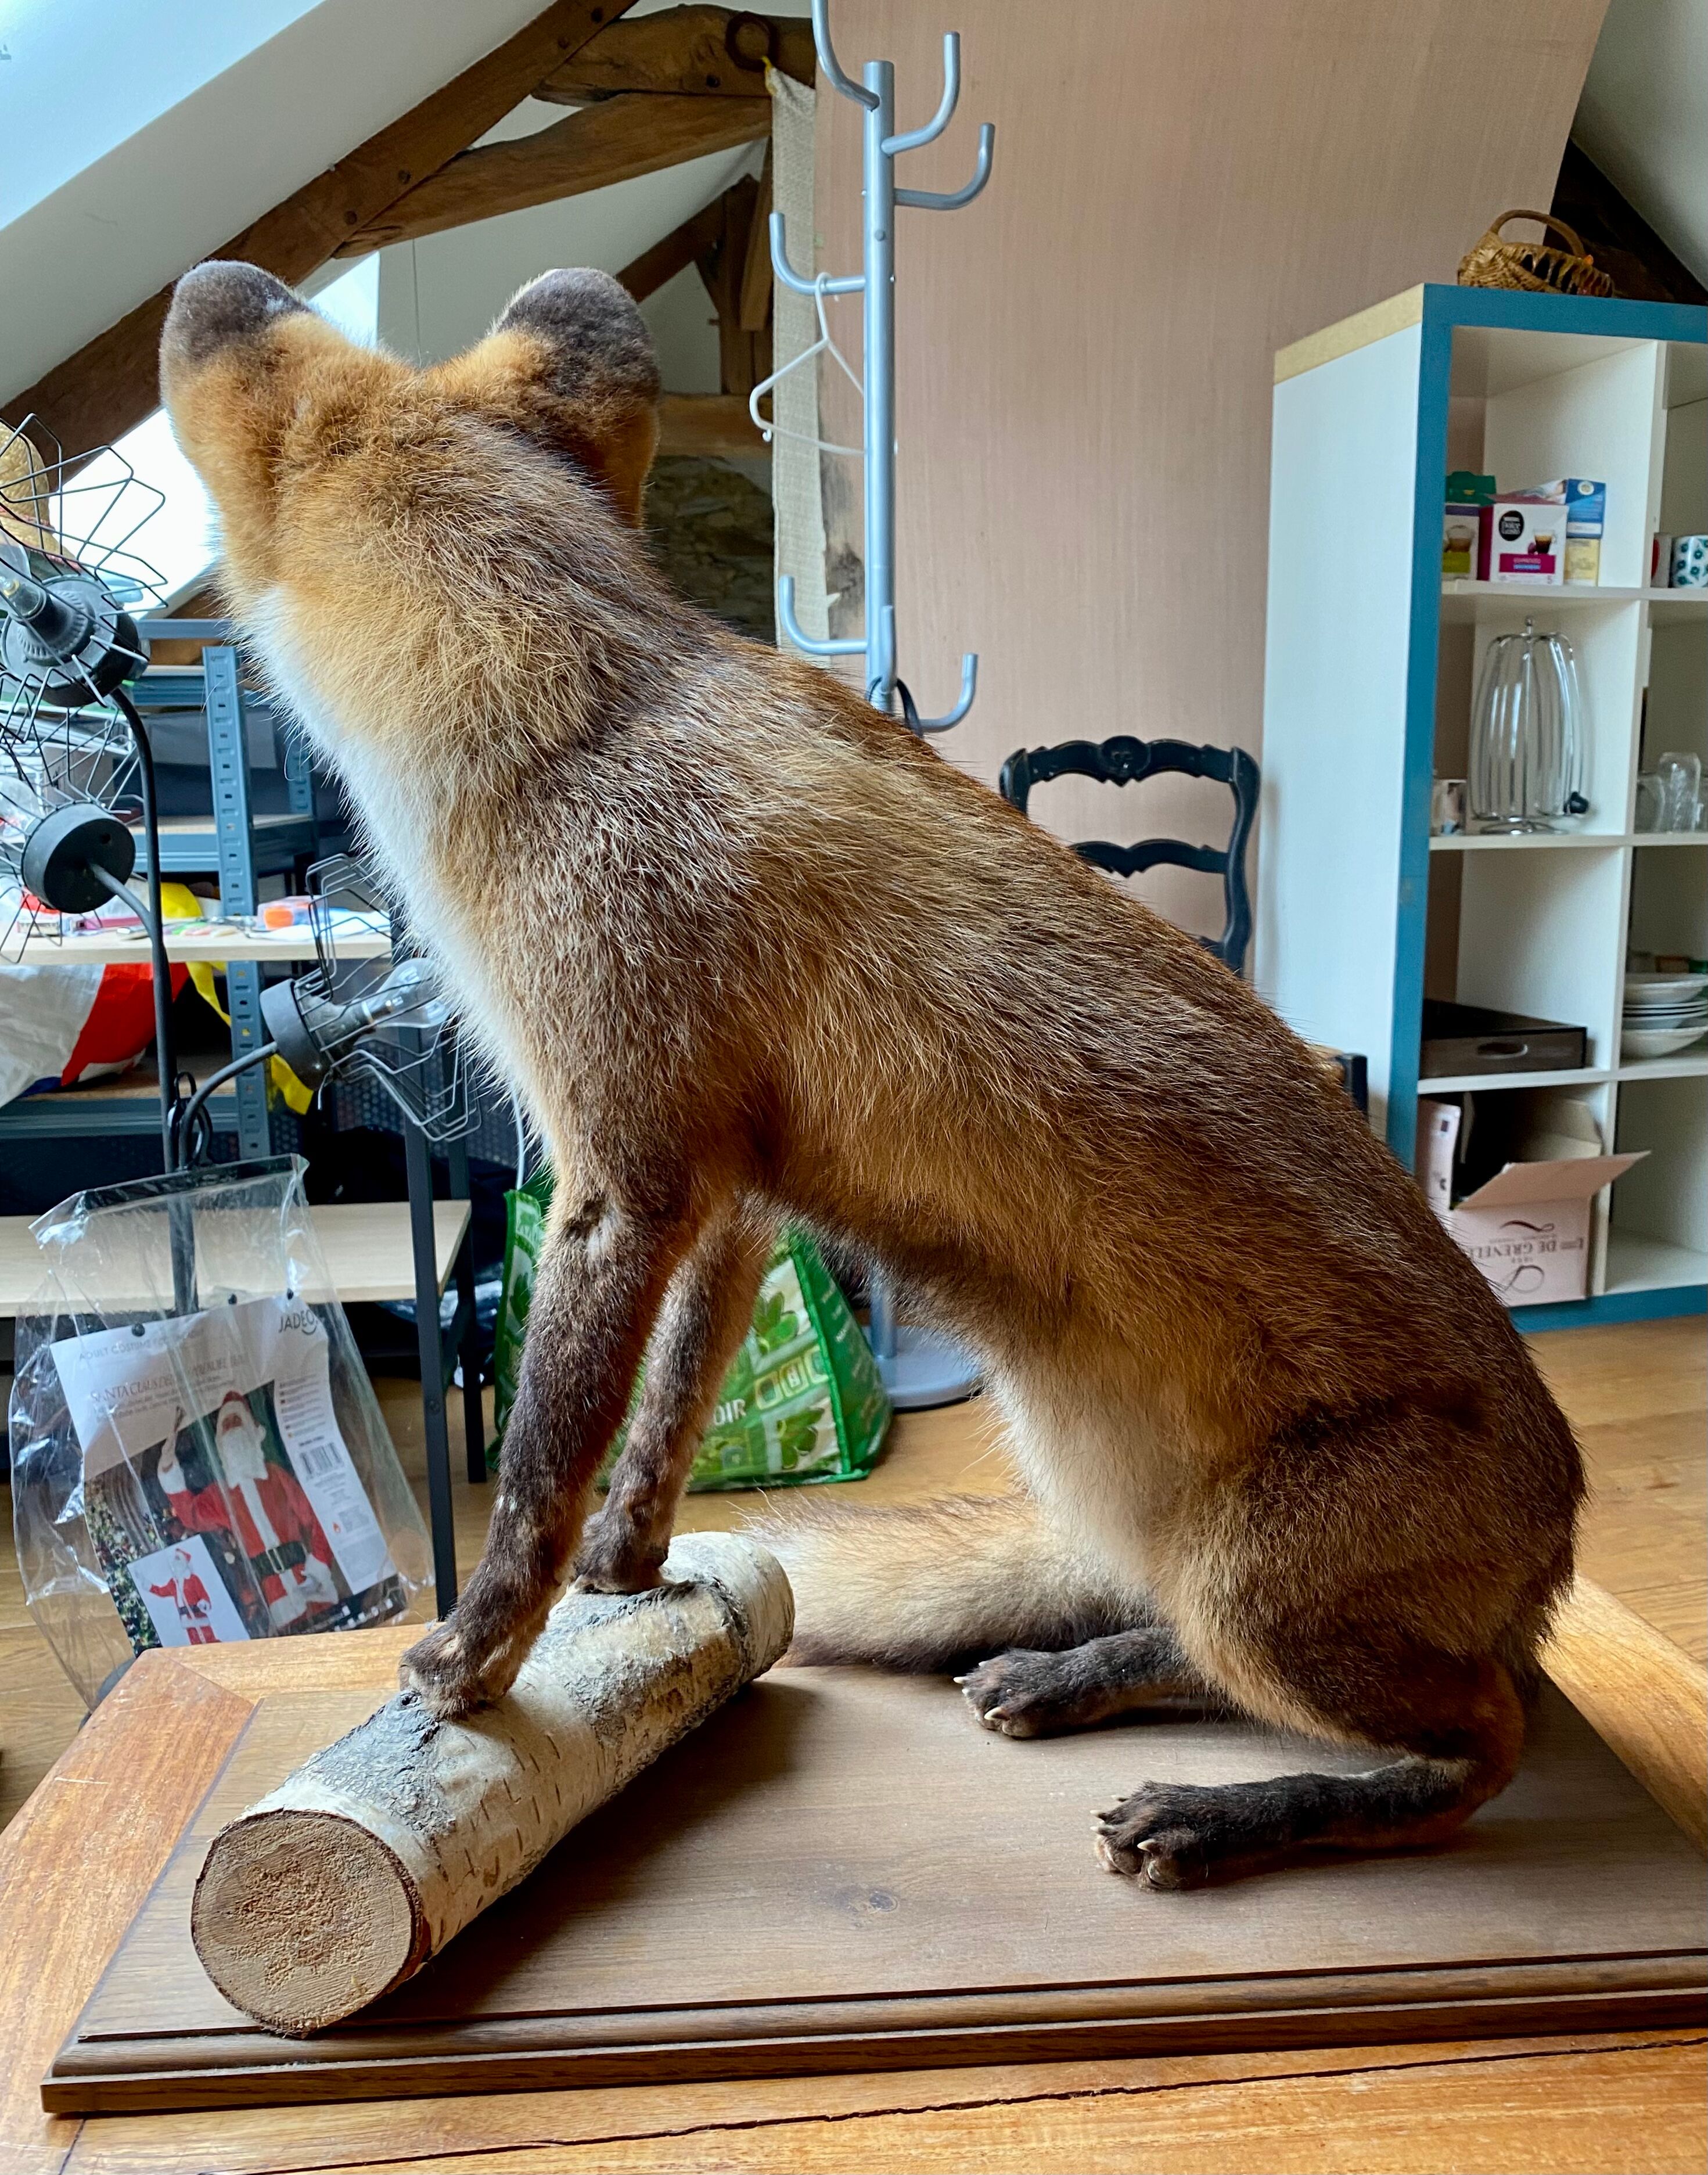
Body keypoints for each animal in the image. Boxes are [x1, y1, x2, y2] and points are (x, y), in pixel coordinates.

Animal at [159, 259, 1583, 1888]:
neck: (589, 715)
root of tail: (1559, 1548)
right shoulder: (730, 1190)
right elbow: (659, 1440)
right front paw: (629, 1584)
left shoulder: (620, 1177)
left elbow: (537, 1471)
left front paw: (474, 1664)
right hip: (1143, 1532)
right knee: (1191, 1649)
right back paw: (1074, 1679)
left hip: (1256, 1586)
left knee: (1480, 1750)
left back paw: (1237, 1814)